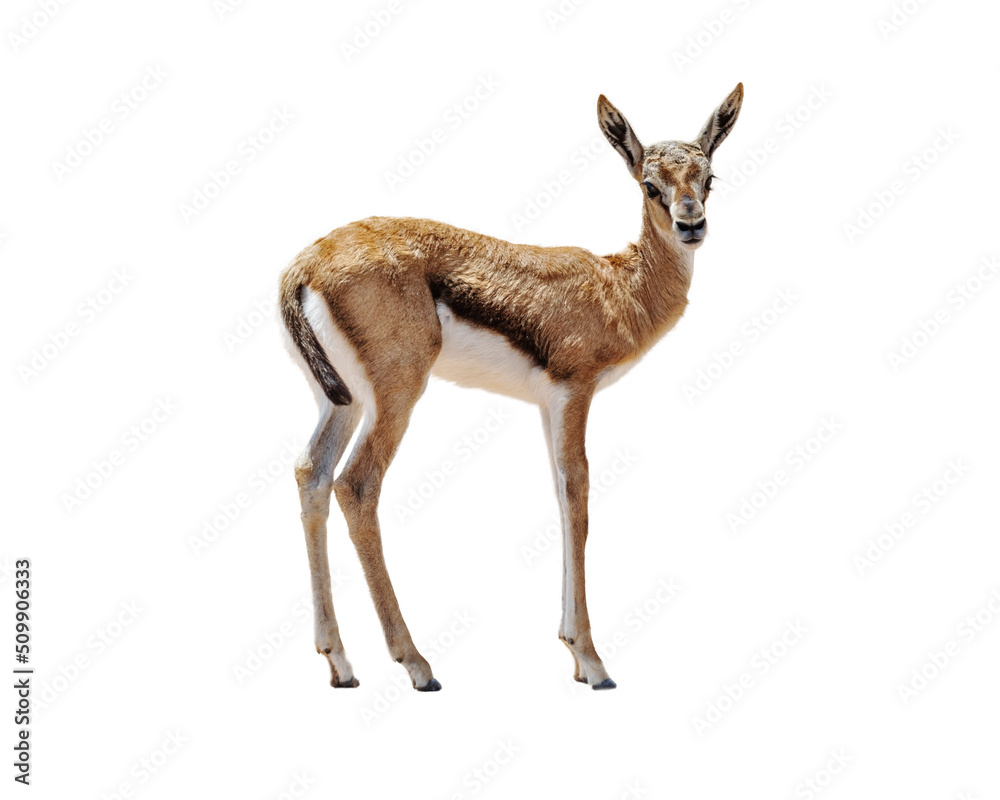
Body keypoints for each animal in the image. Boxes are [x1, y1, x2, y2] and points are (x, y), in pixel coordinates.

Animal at [279, 84, 744, 691]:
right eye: (650, 184)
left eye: (708, 178)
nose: (692, 225)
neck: (617, 287)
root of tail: (306, 264)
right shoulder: (574, 393)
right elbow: (579, 497)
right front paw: (592, 661)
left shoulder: (548, 405)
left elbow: (559, 495)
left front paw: (573, 653)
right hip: (396, 397)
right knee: (357, 485)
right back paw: (417, 663)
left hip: (343, 401)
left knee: (311, 474)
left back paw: (339, 663)